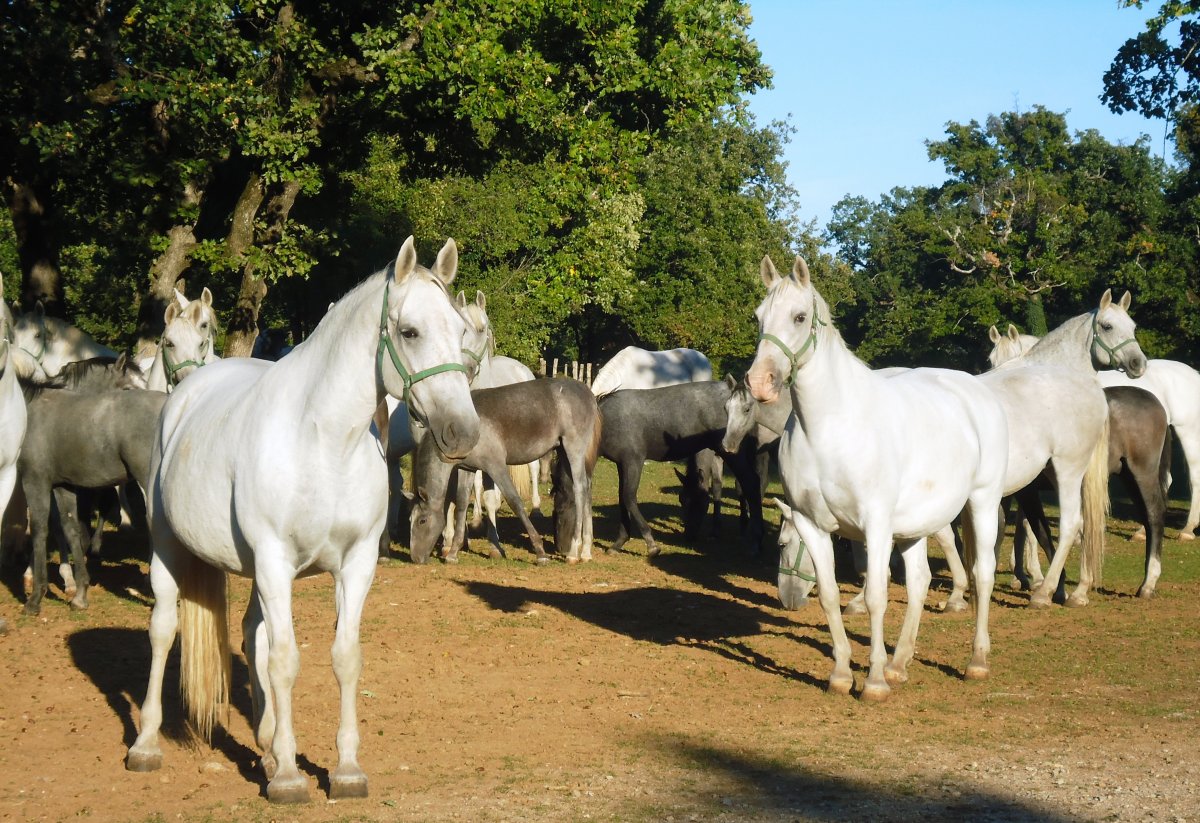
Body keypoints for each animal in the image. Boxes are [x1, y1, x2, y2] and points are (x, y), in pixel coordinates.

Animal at [125, 237, 480, 804]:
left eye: (462, 330)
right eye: (410, 331)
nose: (462, 431)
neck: (325, 442)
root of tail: (188, 391)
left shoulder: (355, 565)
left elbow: (344, 657)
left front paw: (345, 769)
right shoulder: (275, 561)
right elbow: (285, 661)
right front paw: (291, 777)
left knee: (251, 630)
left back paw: (267, 745)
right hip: (169, 549)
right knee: (162, 630)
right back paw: (146, 744)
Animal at [408, 378, 600, 565]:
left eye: (422, 521)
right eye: (410, 520)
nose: (415, 558)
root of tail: (587, 392)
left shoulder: (496, 466)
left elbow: (515, 502)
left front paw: (540, 553)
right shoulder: (467, 468)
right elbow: (461, 504)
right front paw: (453, 553)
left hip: (573, 450)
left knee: (580, 490)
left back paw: (574, 552)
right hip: (563, 452)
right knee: (587, 489)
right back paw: (586, 551)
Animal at [597, 377, 764, 557]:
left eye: (697, 503)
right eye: (682, 500)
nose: (689, 536)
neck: (606, 419)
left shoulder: (633, 461)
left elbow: (628, 497)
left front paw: (651, 544)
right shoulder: (621, 464)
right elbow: (622, 499)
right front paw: (619, 542)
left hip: (732, 454)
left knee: (751, 483)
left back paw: (756, 541)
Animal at [747, 255, 1009, 702]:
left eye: (799, 317)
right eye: (758, 317)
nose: (760, 383)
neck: (830, 429)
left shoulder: (876, 526)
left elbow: (876, 595)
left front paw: (873, 682)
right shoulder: (813, 525)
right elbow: (830, 596)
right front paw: (841, 675)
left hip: (982, 503)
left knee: (983, 574)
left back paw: (976, 661)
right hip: (916, 524)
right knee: (920, 581)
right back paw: (900, 664)